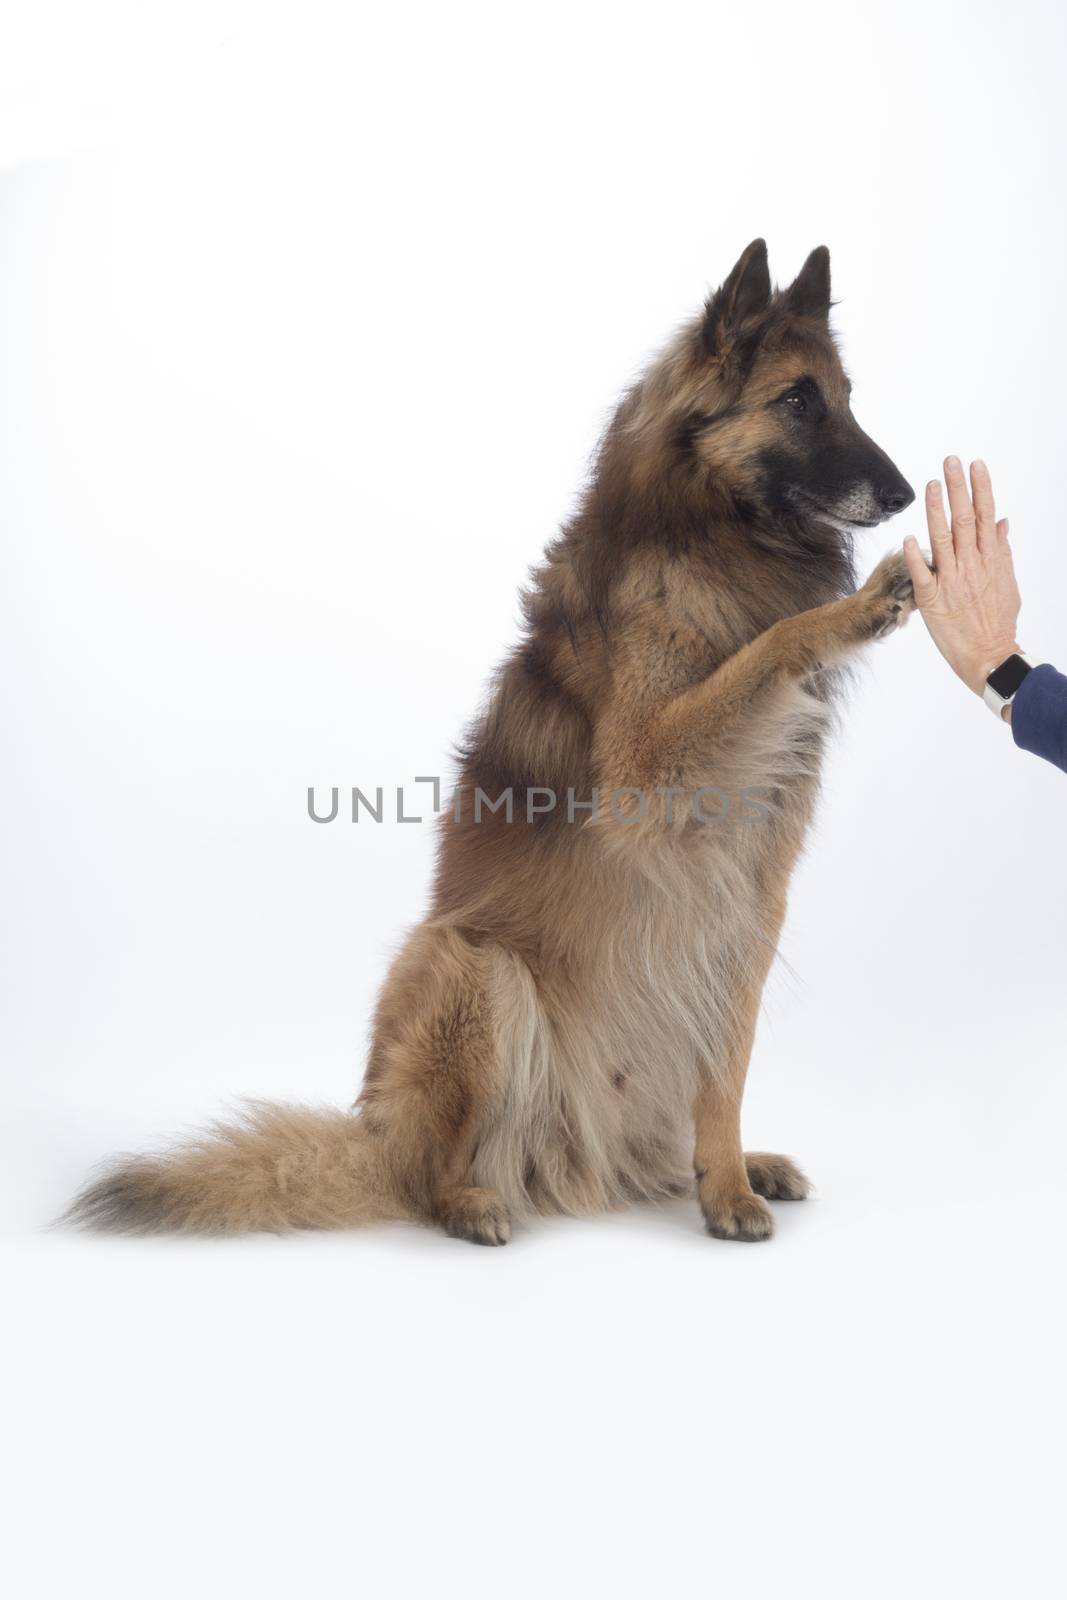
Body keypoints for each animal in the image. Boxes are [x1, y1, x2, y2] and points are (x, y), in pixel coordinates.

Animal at [68, 236, 921, 1241]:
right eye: (796, 400)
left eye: (848, 397)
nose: (905, 494)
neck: (711, 533)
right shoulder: (647, 771)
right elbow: (768, 644)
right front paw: (850, 610)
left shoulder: (749, 905)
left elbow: (727, 1074)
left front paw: (727, 1182)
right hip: (471, 965)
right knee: (428, 1172)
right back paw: (471, 1201)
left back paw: (721, 1165)